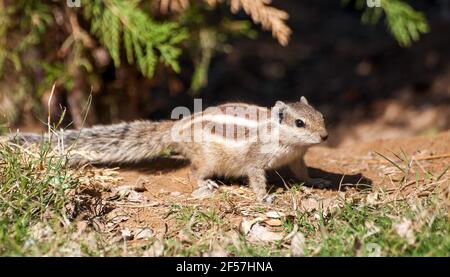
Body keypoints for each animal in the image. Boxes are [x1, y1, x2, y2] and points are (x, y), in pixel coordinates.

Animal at [8, 96, 328, 202]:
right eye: (300, 123)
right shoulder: (255, 160)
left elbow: (302, 171)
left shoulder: (298, 158)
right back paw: (206, 184)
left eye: (321, 116)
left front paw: (316, 180)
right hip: (207, 159)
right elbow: (256, 177)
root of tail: (179, 127)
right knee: (192, 172)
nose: (325, 136)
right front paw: (264, 198)